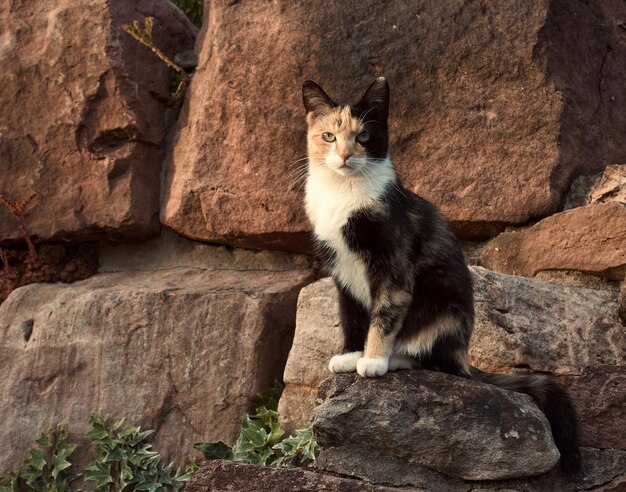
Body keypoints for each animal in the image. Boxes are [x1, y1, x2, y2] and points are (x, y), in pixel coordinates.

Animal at [302, 78, 580, 472]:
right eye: (328, 136)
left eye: (364, 136)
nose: (343, 156)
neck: (343, 194)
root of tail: (464, 354)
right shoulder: (340, 270)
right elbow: (350, 314)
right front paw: (350, 354)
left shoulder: (394, 261)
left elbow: (385, 313)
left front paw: (371, 360)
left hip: (445, 310)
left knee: (433, 360)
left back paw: (395, 359)